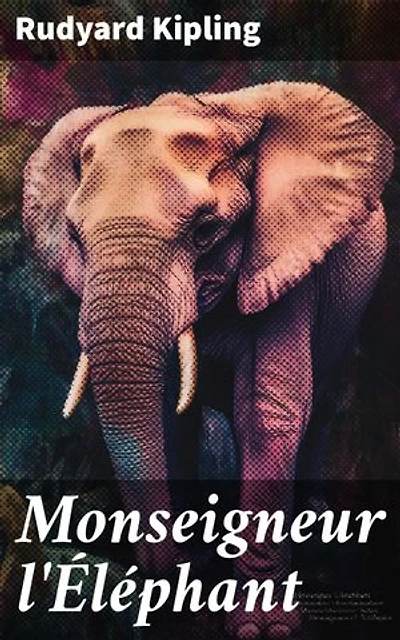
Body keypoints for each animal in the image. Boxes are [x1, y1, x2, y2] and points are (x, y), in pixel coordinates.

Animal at [22, 82, 394, 638]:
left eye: (205, 230)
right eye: (77, 236)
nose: (160, 578)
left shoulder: (288, 263)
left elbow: (267, 412)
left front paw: (263, 628)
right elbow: (166, 416)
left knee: (323, 403)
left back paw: (312, 523)